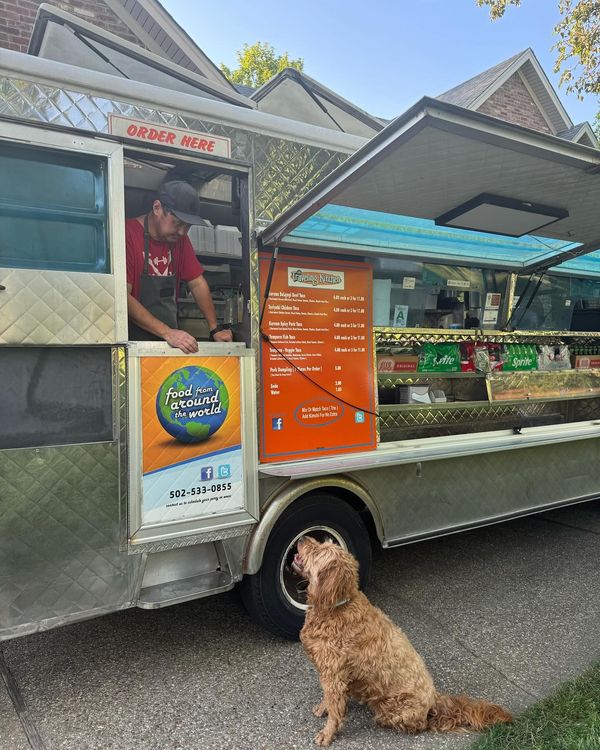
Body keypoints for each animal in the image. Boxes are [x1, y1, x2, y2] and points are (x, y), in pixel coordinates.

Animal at [294, 536, 510, 748]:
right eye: (321, 543)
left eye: (317, 551)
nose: (302, 538)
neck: (336, 607)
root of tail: (434, 699)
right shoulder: (329, 675)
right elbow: (329, 700)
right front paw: (323, 708)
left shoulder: (334, 676)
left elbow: (335, 710)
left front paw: (327, 733)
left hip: (394, 707)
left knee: (419, 725)